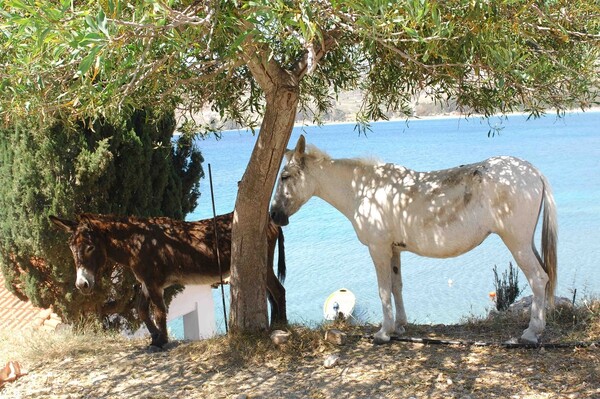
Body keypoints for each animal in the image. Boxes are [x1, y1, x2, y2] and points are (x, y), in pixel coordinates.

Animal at [272, 136, 556, 346]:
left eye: (285, 177)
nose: (274, 215)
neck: (364, 190)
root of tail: (532, 171)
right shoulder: (394, 250)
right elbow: (396, 286)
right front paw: (399, 326)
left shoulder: (378, 249)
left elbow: (383, 289)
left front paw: (383, 333)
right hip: (526, 242)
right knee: (544, 276)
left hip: (516, 242)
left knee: (538, 278)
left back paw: (532, 332)